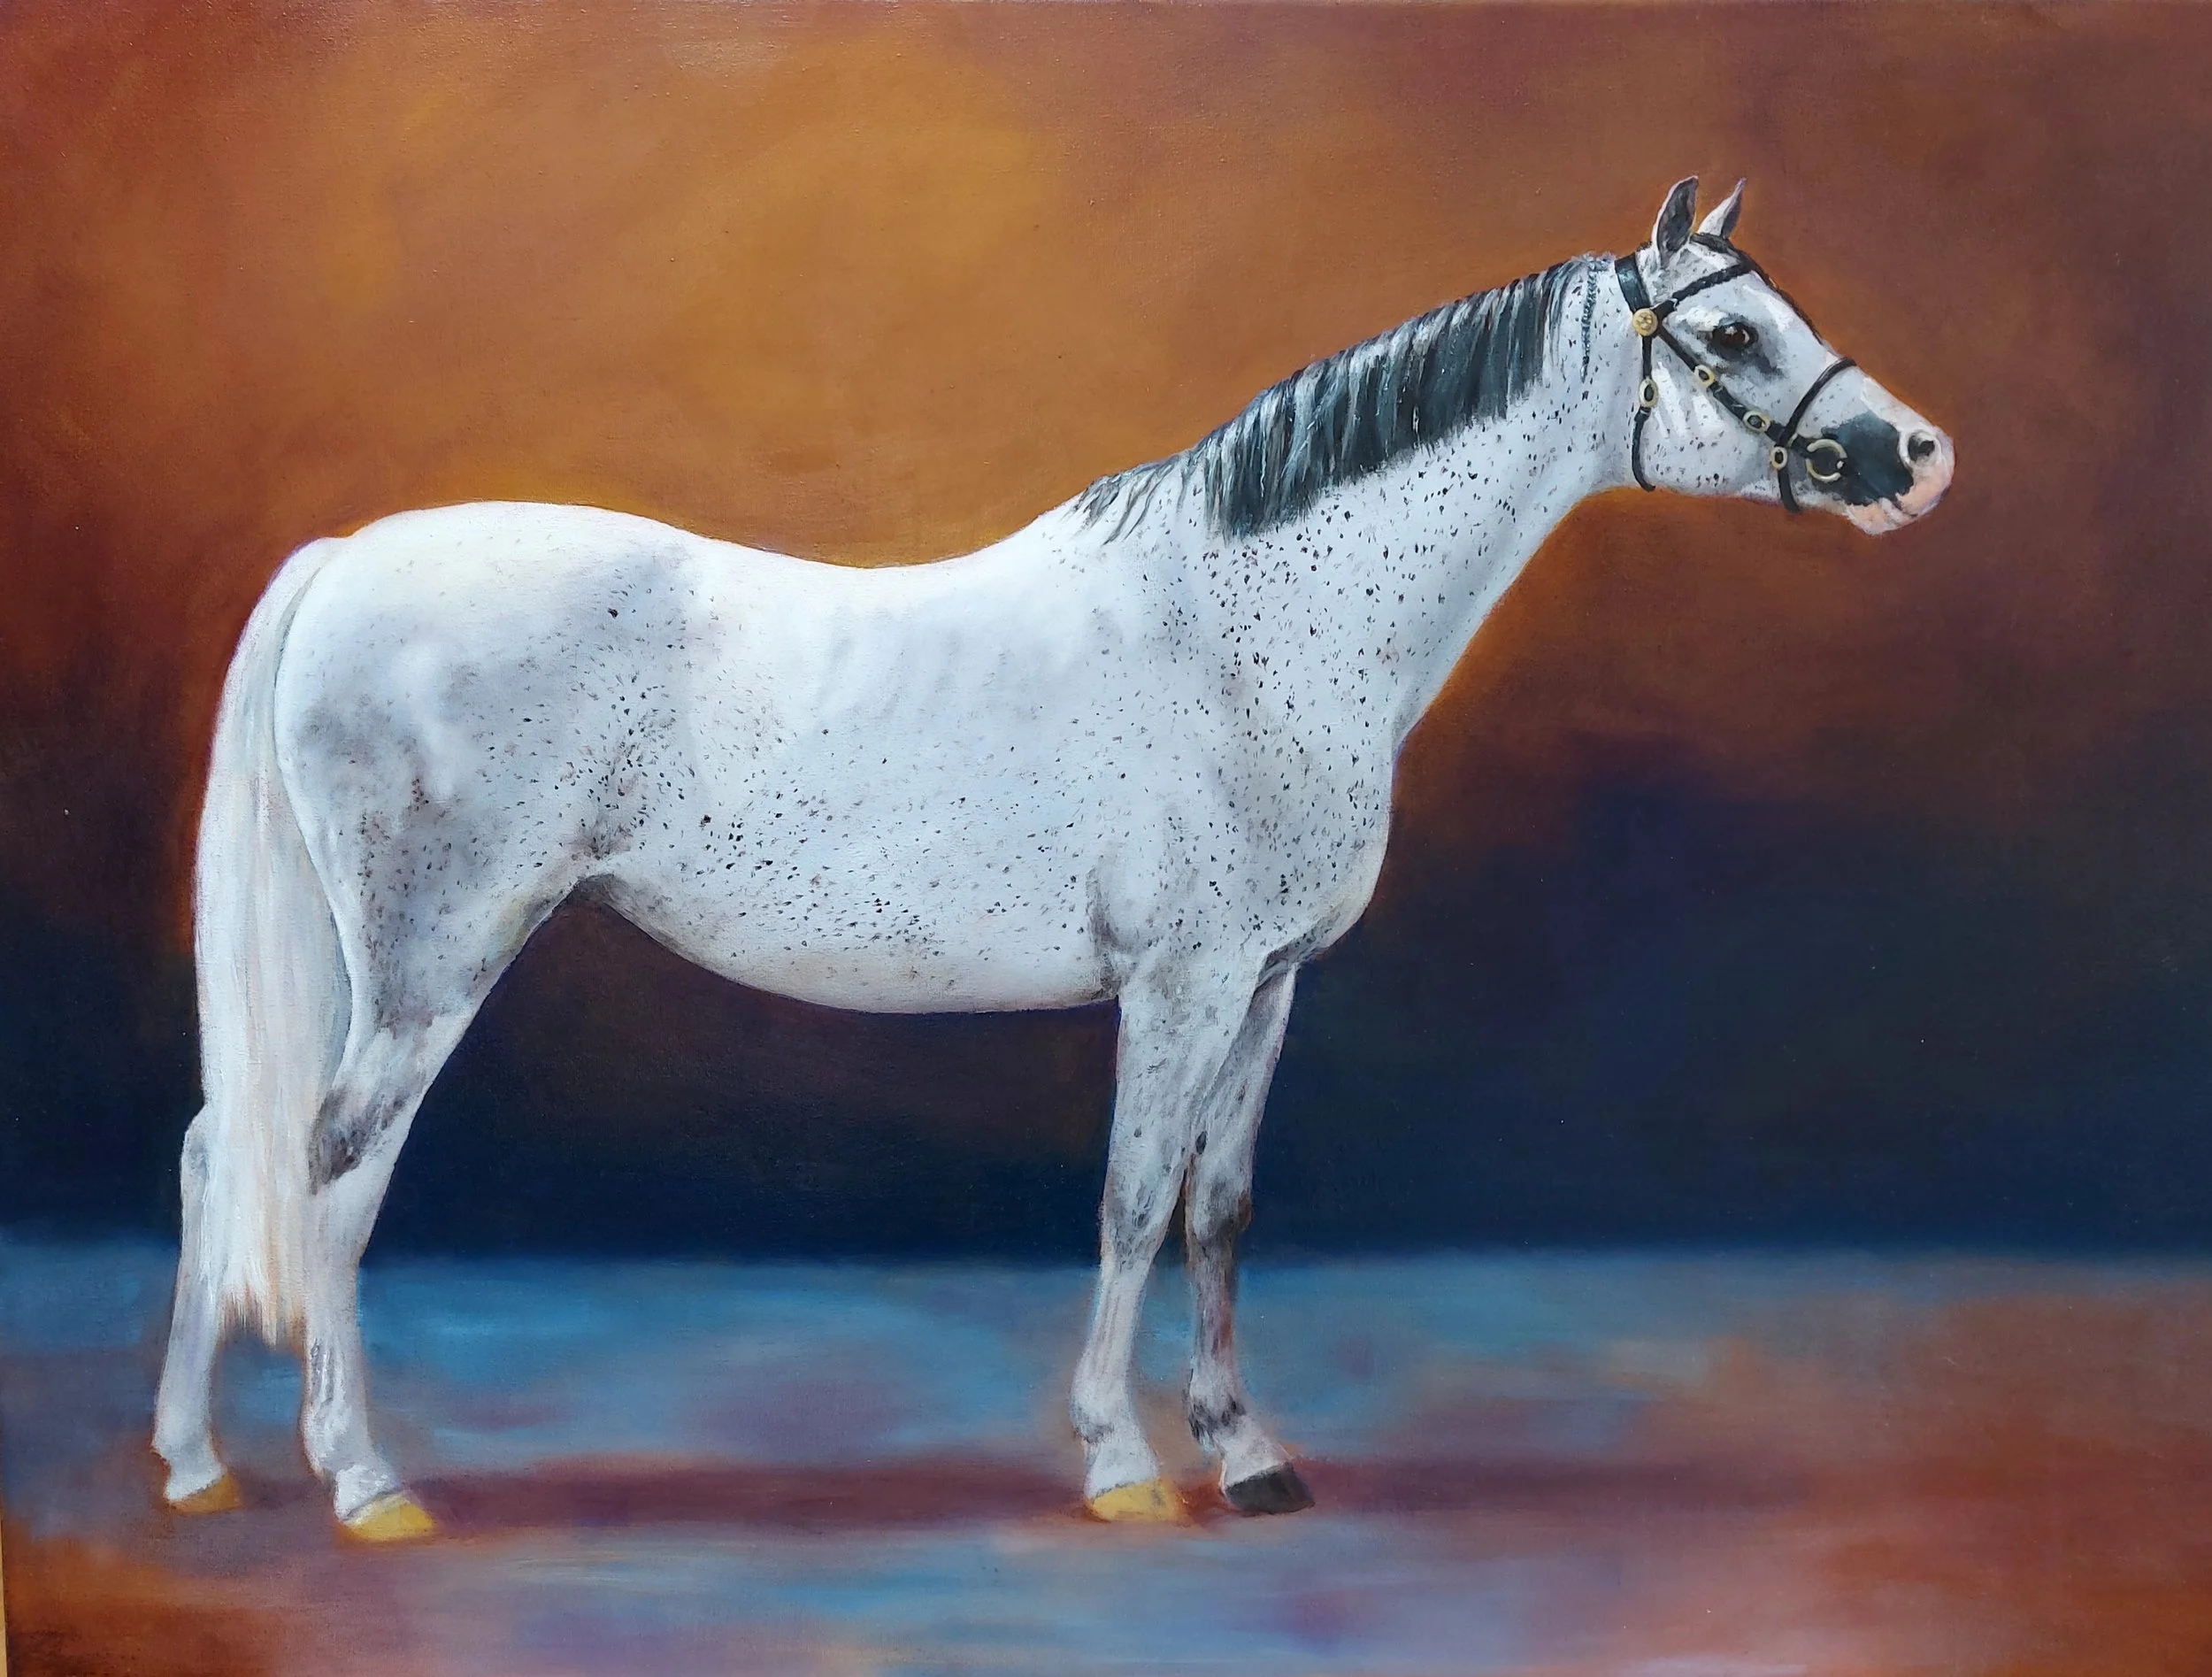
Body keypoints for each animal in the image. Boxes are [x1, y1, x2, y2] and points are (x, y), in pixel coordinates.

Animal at [152, 177, 1952, 1539]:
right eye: (1732, 332)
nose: (1916, 457)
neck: (1250, 625)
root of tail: (345, 561)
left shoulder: (1270, 987)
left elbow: (1220, 1207)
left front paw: (1250, 1454)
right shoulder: (1180, 984)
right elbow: (1132, 1202)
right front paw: (1122, 1461)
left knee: (213, 1151)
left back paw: (192, 1465)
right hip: (433, 959)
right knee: (330, 1169)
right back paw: (365, 1482)